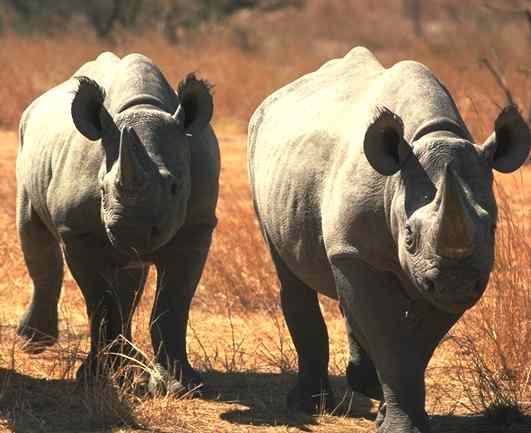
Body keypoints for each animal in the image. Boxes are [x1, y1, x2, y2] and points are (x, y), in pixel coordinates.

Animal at [16, 51, 219, 392]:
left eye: (175, 187)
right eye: (100, 189)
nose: (130, 231)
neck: (144, 107)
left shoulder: (197, 226)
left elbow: (173, 303)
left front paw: (181, 386)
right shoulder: (79, 233)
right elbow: (100, 304)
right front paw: (96, 378)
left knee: (129, 277)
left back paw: (129, 365)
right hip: (25, 144)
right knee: (34, 234)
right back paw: (34, 343)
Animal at [249, 45, 531, 430]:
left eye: (492, 230)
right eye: (409, 236)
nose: (455, 284)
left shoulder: (448, 275)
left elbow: (417, 345)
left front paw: (397, 412)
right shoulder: (356, 251)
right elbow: (389, 337)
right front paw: (398, 423)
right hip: (259, 153)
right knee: (290, 273)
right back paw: (307, 405)